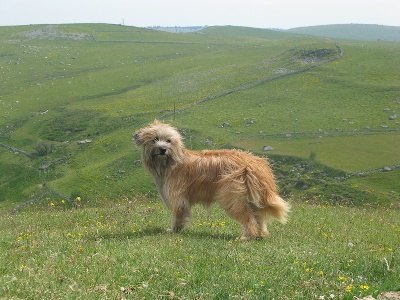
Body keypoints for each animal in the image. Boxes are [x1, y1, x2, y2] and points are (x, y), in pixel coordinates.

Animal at [134, 120, 290, 240]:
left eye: (168, 140)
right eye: (154, 139)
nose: (162, 149)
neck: (172, 161)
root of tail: (254, 162)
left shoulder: (178, 197)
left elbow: (178, 215)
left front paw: (174, 230)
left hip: (232, 196)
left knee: (248, 217)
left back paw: (247, 236)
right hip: (252, 197)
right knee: (258, 216)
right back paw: (260, 234)